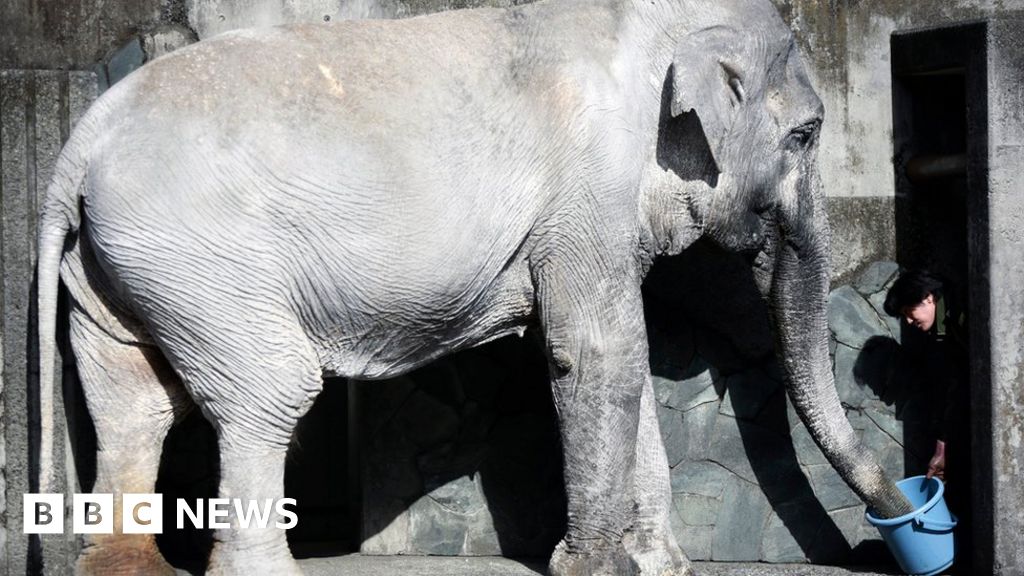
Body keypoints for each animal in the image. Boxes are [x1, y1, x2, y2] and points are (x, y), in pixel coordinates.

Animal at [36, 0, 913, 569]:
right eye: (806, 135)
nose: (900, 529)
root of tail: (77, 143)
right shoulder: (588, 189)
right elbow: (597, 354)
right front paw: (592, 568)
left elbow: (623, 359)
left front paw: (659, 567)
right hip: (202, 256)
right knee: (269, 392)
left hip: (125, 266)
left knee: (131, 402)